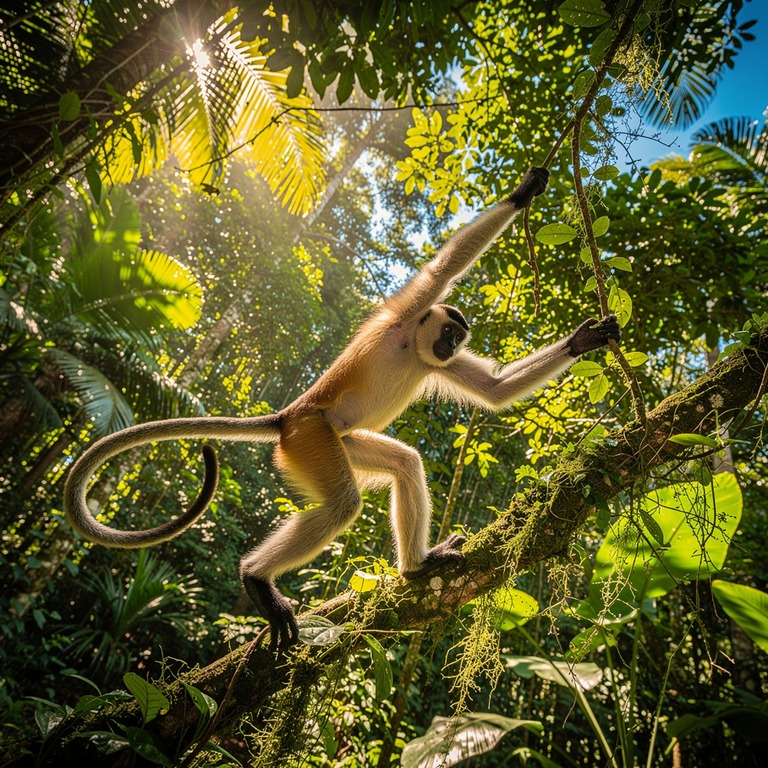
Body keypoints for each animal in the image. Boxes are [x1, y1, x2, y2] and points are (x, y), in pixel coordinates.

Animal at [64, 167, 620, 651]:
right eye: (447, 329)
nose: (448, 345)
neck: (412, 348)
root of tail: (288, 416)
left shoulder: (436, 365)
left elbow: (495, 389)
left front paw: (584, 341)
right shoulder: (403, 315)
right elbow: (442, 269)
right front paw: (524, 192)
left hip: (339, 442)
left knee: (404, 464)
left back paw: (416, 567)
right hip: (313, 437)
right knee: (342, 506)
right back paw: (257, 578)